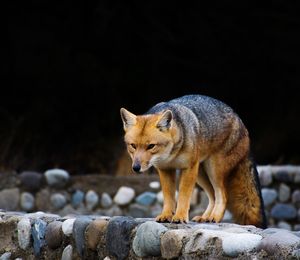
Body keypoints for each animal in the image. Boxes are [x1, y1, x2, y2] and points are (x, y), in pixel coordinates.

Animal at [120, 95, 266, 228]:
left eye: (151, 146)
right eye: (133, 146)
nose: (136, 167)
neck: (171, 155)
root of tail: (239, 119)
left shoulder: (188, 169)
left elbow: (183, 196)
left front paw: (179, 217)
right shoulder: (165, 170)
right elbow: (169, 197)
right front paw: (166, 215)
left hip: (213, 171)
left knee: (223, 196)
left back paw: (215, 217)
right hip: (201, 176)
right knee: (213, 196)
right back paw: (205, 217)